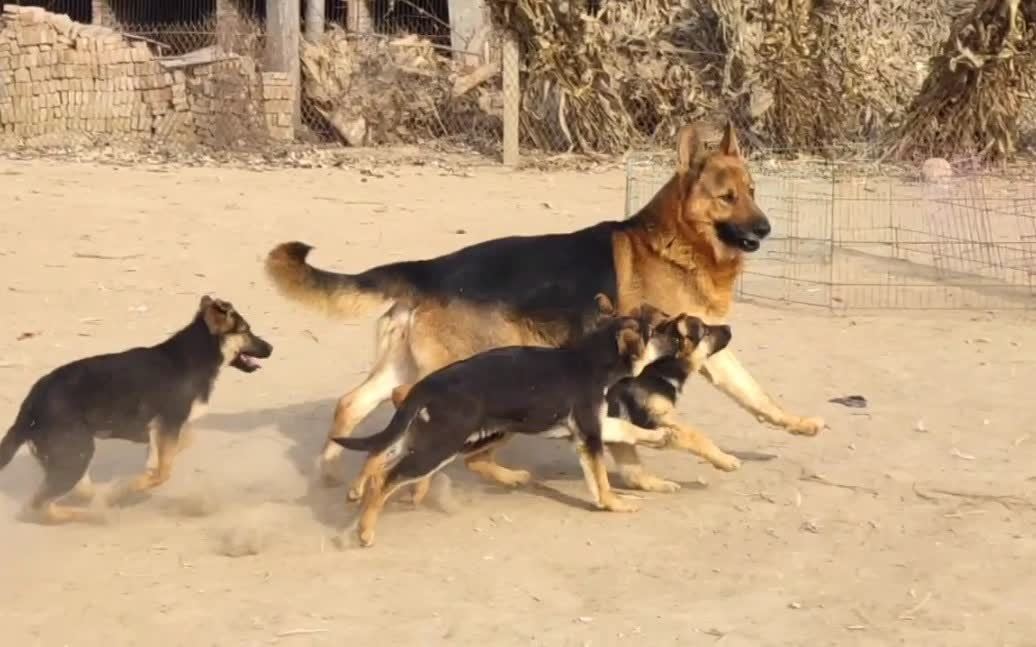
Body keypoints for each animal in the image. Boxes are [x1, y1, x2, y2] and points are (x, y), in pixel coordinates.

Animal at [265, 121, 824, 492]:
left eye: (752, 191)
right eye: (726, 197)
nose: (765, 229)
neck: (678, 242)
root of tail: (428, 269)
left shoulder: (710, 346)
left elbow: (754, 394)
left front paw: (796, 423)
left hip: (408, 362)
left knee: (352, 404)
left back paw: (331, 474)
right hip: (457, 367)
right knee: (404, 405)